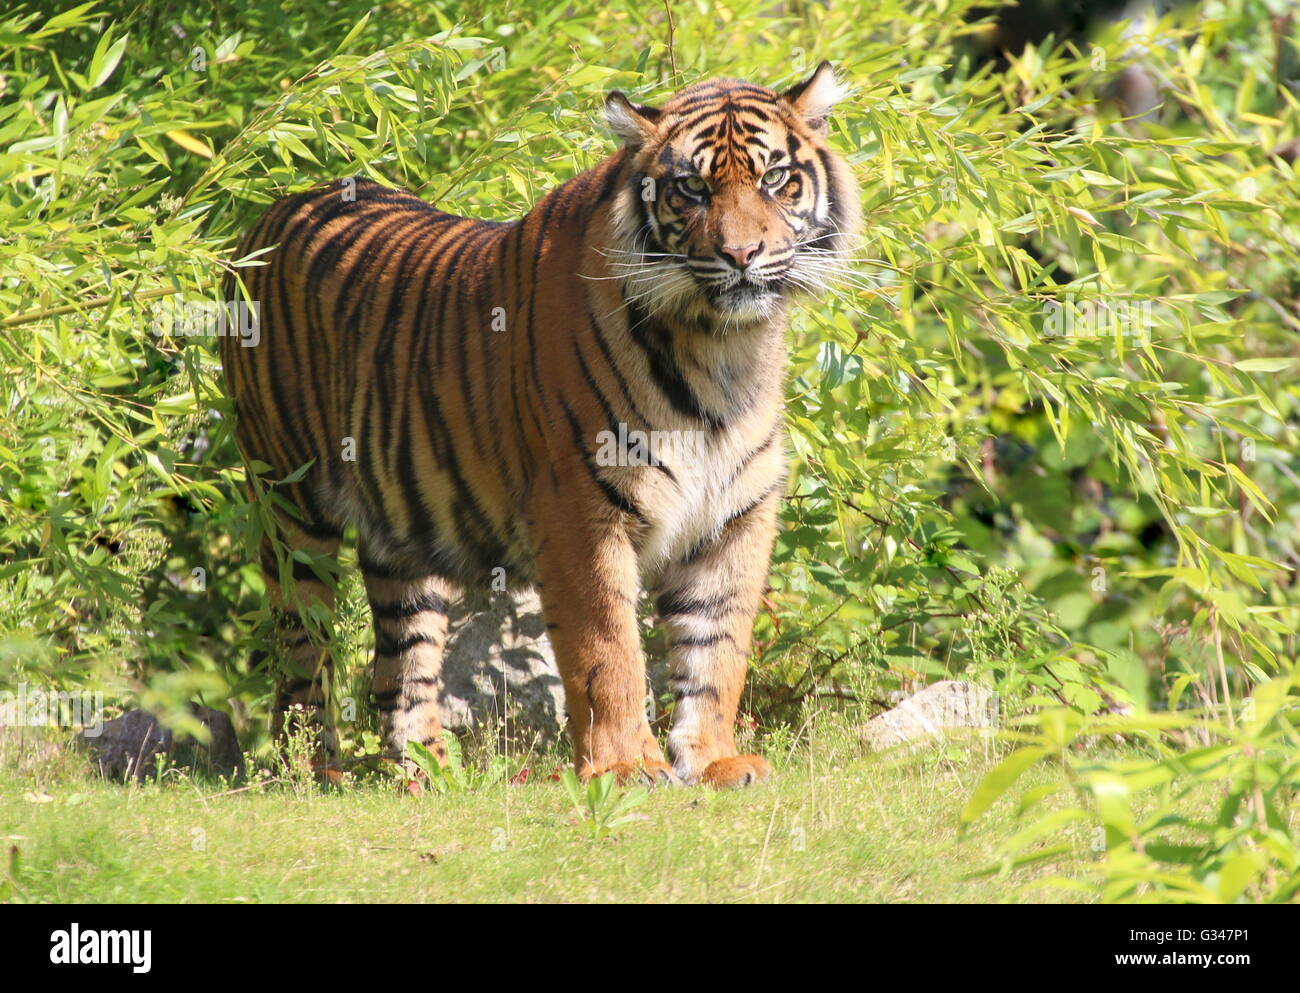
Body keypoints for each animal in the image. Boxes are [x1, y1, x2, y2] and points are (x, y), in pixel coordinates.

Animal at [223, 62, 863, 790]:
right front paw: (626, 766)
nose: (741, 253)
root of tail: (271, 210)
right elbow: (609, 650)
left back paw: (430, 775)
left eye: (775, 179)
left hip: (402, 533)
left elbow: (716, 650)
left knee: (401, 662)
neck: (723, 346)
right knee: (302, 652)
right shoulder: (580, 508)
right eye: (692, 188)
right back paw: (311, 772)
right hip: (290, 507)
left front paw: (713, 760)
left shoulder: (734, 515)